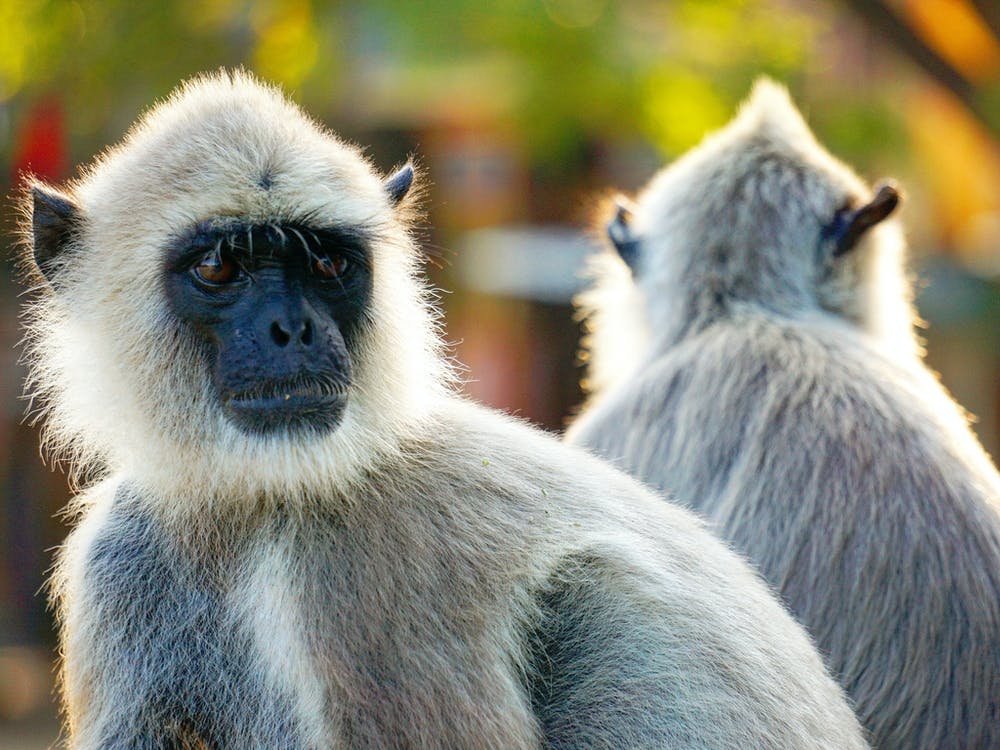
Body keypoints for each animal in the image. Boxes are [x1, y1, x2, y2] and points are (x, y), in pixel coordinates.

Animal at [18, 70, 869, 749]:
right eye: (221, 266)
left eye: (328, 263)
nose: (293, 328)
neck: (265, 497)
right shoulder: (121, 555)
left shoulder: (376, 571)